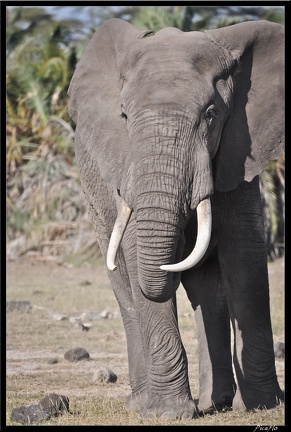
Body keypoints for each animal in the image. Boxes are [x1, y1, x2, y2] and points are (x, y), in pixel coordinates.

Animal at [68, 18, 286, 420]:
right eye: (124, 115)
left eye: (211, 114)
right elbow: (138, 254)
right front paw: (166, 414)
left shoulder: (238, 151)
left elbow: (244, 256)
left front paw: (265, 404)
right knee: (126, 288)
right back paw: (142, 403)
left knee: (207, 291)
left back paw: (216, 402)